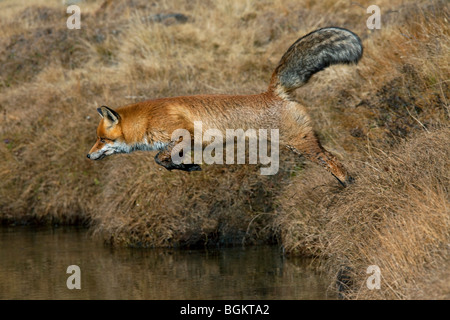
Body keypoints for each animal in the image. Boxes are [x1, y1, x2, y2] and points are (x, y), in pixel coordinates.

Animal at [87, 27, 362, 188]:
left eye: (102, 139)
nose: (88, 156)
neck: (147, 120)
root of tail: (273, 91)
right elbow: (166, 161)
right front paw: (186, 167)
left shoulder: (183, 134)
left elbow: (158, 158)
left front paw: (186, 166)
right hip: (304, 142)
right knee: (333, 155)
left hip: (299, 143)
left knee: (331, 160)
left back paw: (349, 184)